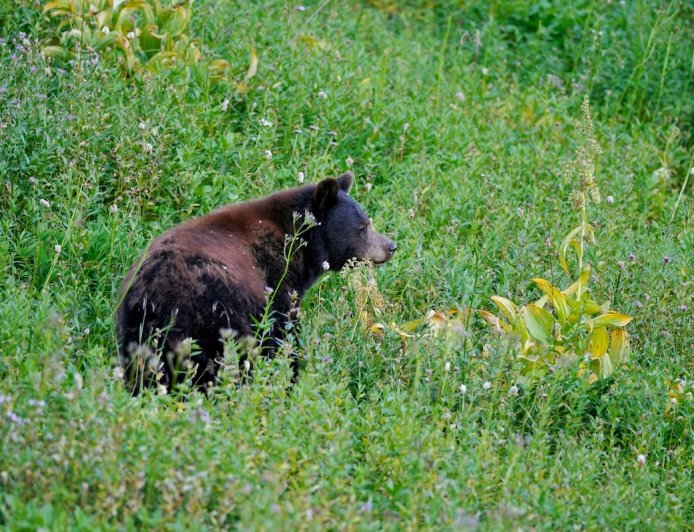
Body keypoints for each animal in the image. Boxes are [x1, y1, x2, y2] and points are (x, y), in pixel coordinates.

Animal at [115, 171, 396, 393]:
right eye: (362, 227)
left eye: (367, 222)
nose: (391, 246)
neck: (298, 243)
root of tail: (151, 297)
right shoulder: (275, 283)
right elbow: (282, 334)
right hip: (215, 315)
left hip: (135, 330)